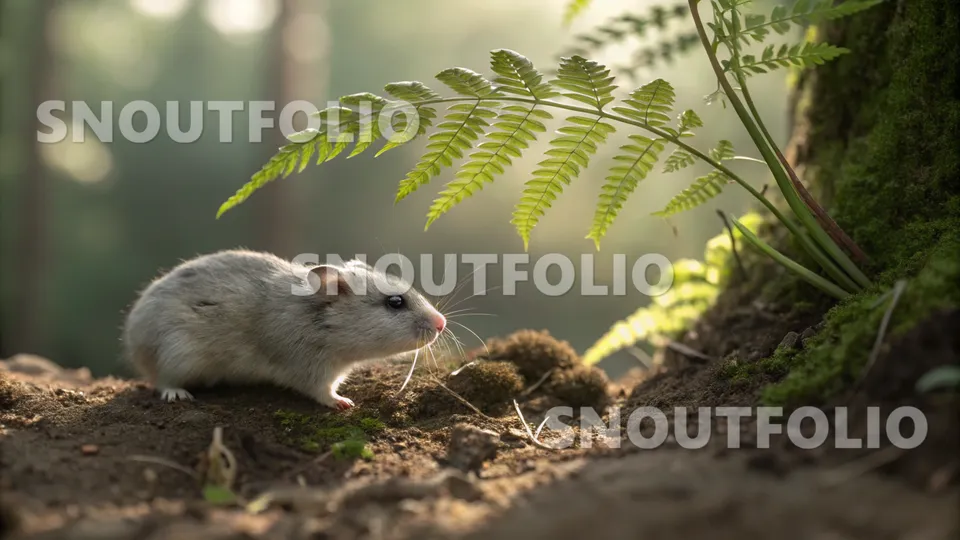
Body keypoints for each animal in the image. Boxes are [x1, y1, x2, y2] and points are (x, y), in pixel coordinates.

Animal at [121, 249, 446, 410]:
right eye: (395, 302)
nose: (442, 323)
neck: (321, 324)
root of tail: (133, 343)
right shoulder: (309, 369)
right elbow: (324, 393)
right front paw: (344, 403)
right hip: (178, 356)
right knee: (162, 381)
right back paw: (177, 394)